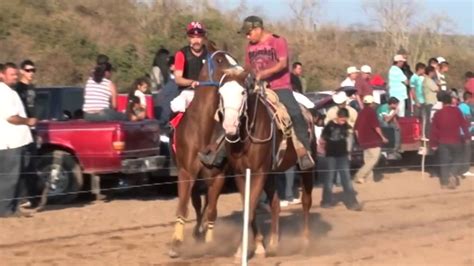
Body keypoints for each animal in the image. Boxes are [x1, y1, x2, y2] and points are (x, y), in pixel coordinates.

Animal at [168, 43, 246, 258]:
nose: (241, 72)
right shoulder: (186, 173)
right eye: (219, 60)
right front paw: (176, 243)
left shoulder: (218, 176)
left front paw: (210, 242)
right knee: (195, 204)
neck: (202, 128)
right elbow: (183, 207)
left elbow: (211, 210)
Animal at [218, 82, 314, 256]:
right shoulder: (241, 175)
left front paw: (241, 250)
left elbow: (250, 208)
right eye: (221, 93)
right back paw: (274, 244)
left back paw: (305, 241)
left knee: (306, 201)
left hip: (306, 169)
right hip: (271, 174)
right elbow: (249, 207)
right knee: (275, 204)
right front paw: (258, 246)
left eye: (242, 93)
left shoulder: (259, 173)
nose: (229, 126)